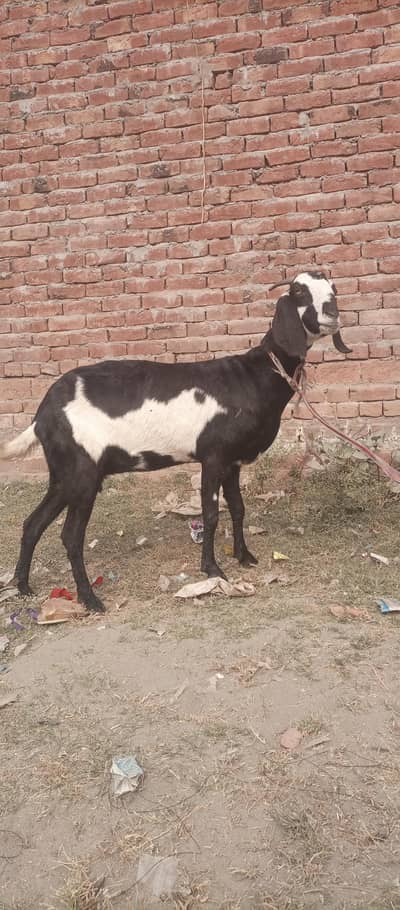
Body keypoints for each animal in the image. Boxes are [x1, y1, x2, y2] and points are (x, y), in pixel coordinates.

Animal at [0, 271, 350, 613]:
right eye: (299, 293)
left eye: (333, 288)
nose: (332, 312)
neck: (253, 376)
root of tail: (42, 416)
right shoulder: (213, 456)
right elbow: (210, 514)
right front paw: (213, 570)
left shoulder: (233, 461)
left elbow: (238, 508)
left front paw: (244, 556)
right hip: (82, 473)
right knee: (71, 536)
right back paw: (90, 599)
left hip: (65, 475)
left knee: (33, 523)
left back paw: (23, 586)